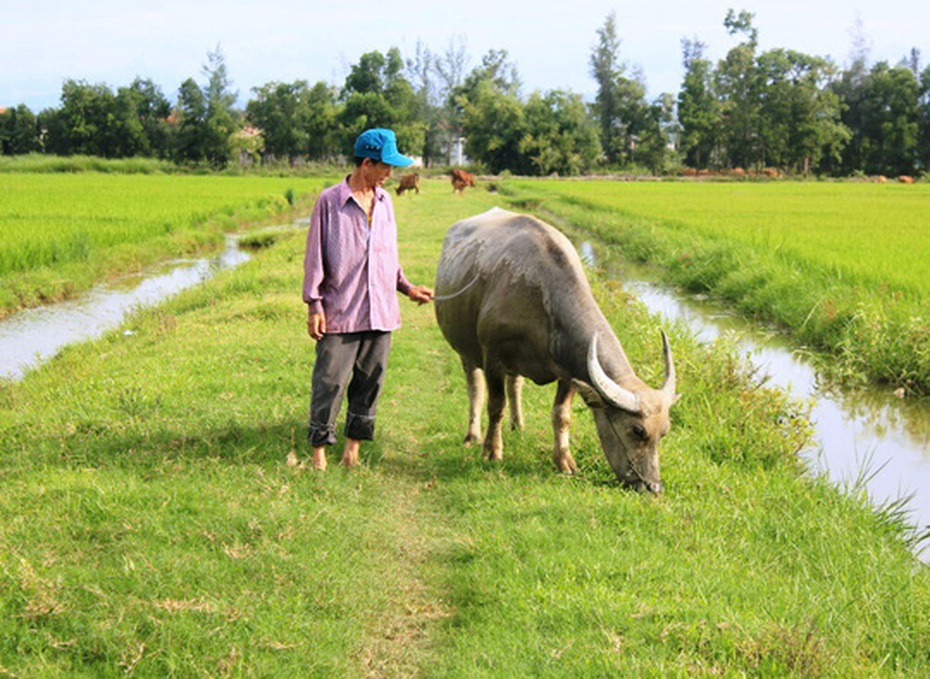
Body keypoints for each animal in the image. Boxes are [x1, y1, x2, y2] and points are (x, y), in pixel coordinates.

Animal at [432, 209, 676, 494]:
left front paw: (564, 462)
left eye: (664, 431)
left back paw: (518, 425)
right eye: (637, 430)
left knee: (515, 384)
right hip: (466, 351)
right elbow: (496, 405)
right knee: (475, 389)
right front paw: (492, 451)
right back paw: (473, 435)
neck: (539, 296)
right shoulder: (492, 356)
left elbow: (562, 416)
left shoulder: (569, 370)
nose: (653, 487)